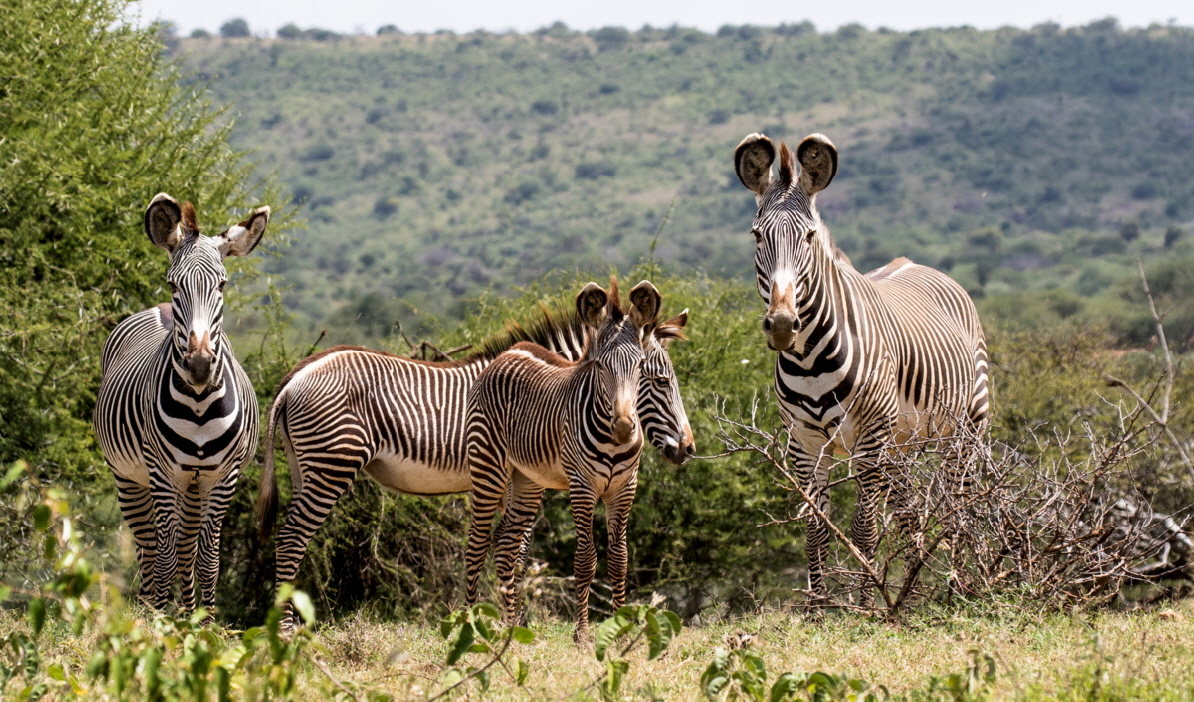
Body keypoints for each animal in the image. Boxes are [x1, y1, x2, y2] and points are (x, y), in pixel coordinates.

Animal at [96, 193, 271, 616]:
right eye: (174, 283)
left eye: (222, 284)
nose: (199, 364)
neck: (199, 405)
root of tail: (157, 307)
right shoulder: (163, 475)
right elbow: (164, 555)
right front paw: (160, 621)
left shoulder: (223, 477)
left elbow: (207, 558)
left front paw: (204, 622)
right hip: (129, 477)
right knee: (147, 546)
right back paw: (150, 608)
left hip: (194, 486)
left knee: (187, 549)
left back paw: (187, 612)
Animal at [465, 278, 668, 639]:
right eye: (600, 366)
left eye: (640, 367)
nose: (623, 428)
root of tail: (507, 353)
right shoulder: (582, 486)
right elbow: (585, 560)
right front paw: (583, 635)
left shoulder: (624, 488)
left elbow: (619, 559)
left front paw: (622, 628)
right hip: (488, 467)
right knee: (476, 544)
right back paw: (470, 623)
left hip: (527, 480)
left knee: (505, 546)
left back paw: (511, 628)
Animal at [730, 134, 993, 606]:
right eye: (757, 235)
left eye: (809, 236)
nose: (781, 325)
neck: (810, 362)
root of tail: (916, 263)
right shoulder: (804, 442)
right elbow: (816, 532)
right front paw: (817, 610)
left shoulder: (869, 438)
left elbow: (864, 529)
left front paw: (867, 607)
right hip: (901, 446)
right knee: (910, 515)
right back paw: (911, 591)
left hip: (967, 429)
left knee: (962, 504)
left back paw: (961, 589)